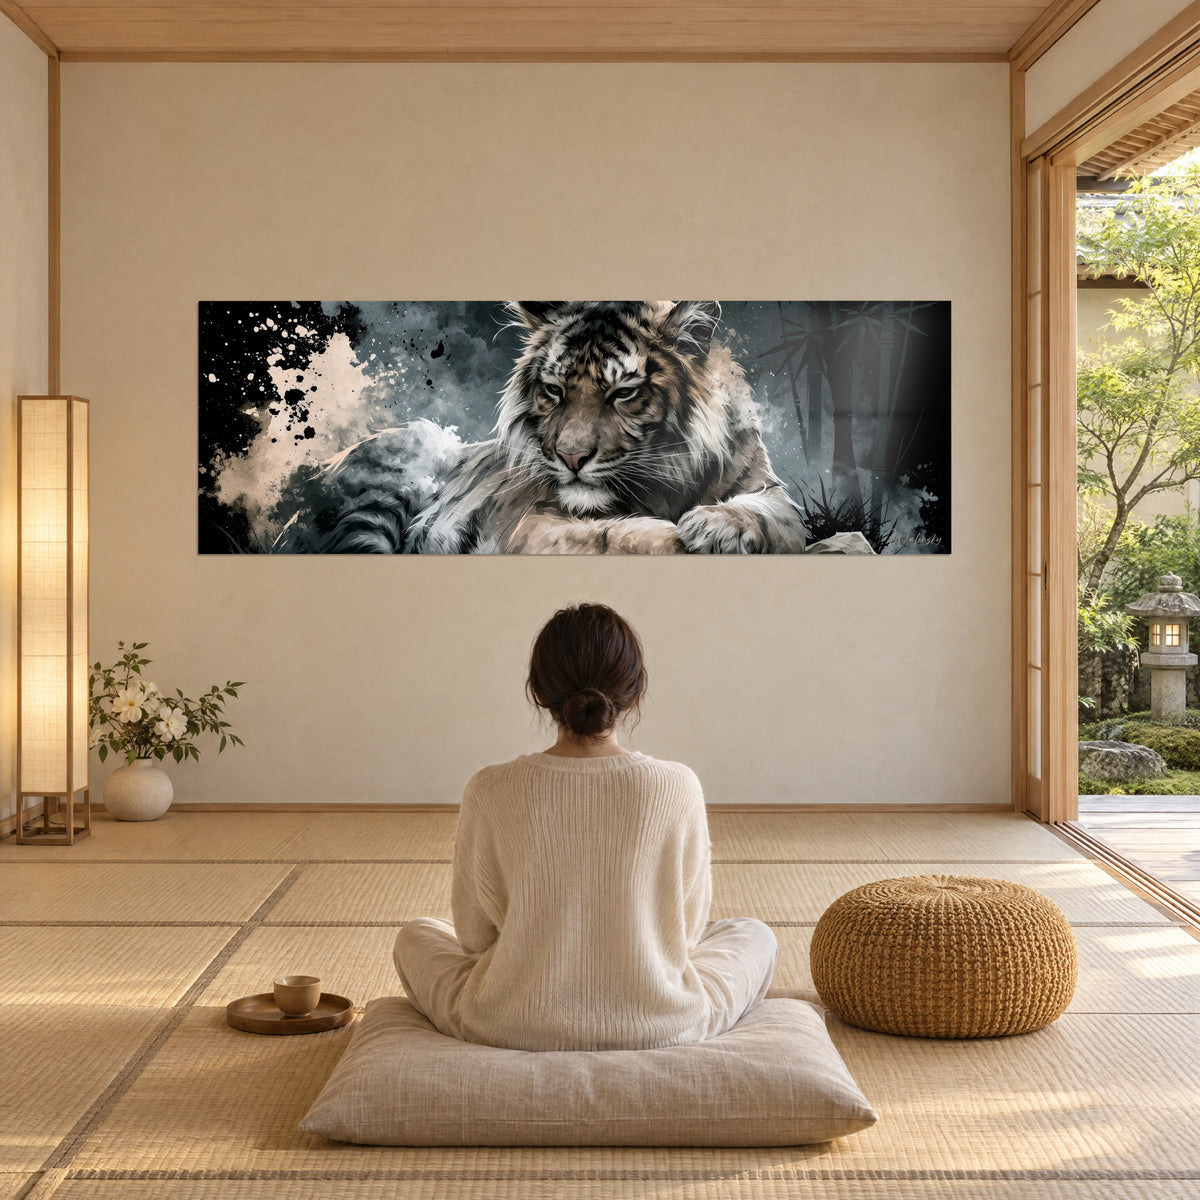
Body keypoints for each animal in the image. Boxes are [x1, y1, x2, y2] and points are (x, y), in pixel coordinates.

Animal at [322, 301, 809, 555]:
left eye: (623, 393)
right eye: (554, 391)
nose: (571, 457)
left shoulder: (767, 488)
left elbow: (774, 515)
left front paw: (717, 526)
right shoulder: (537, 522)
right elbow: (610, 535)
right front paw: (674, 536)